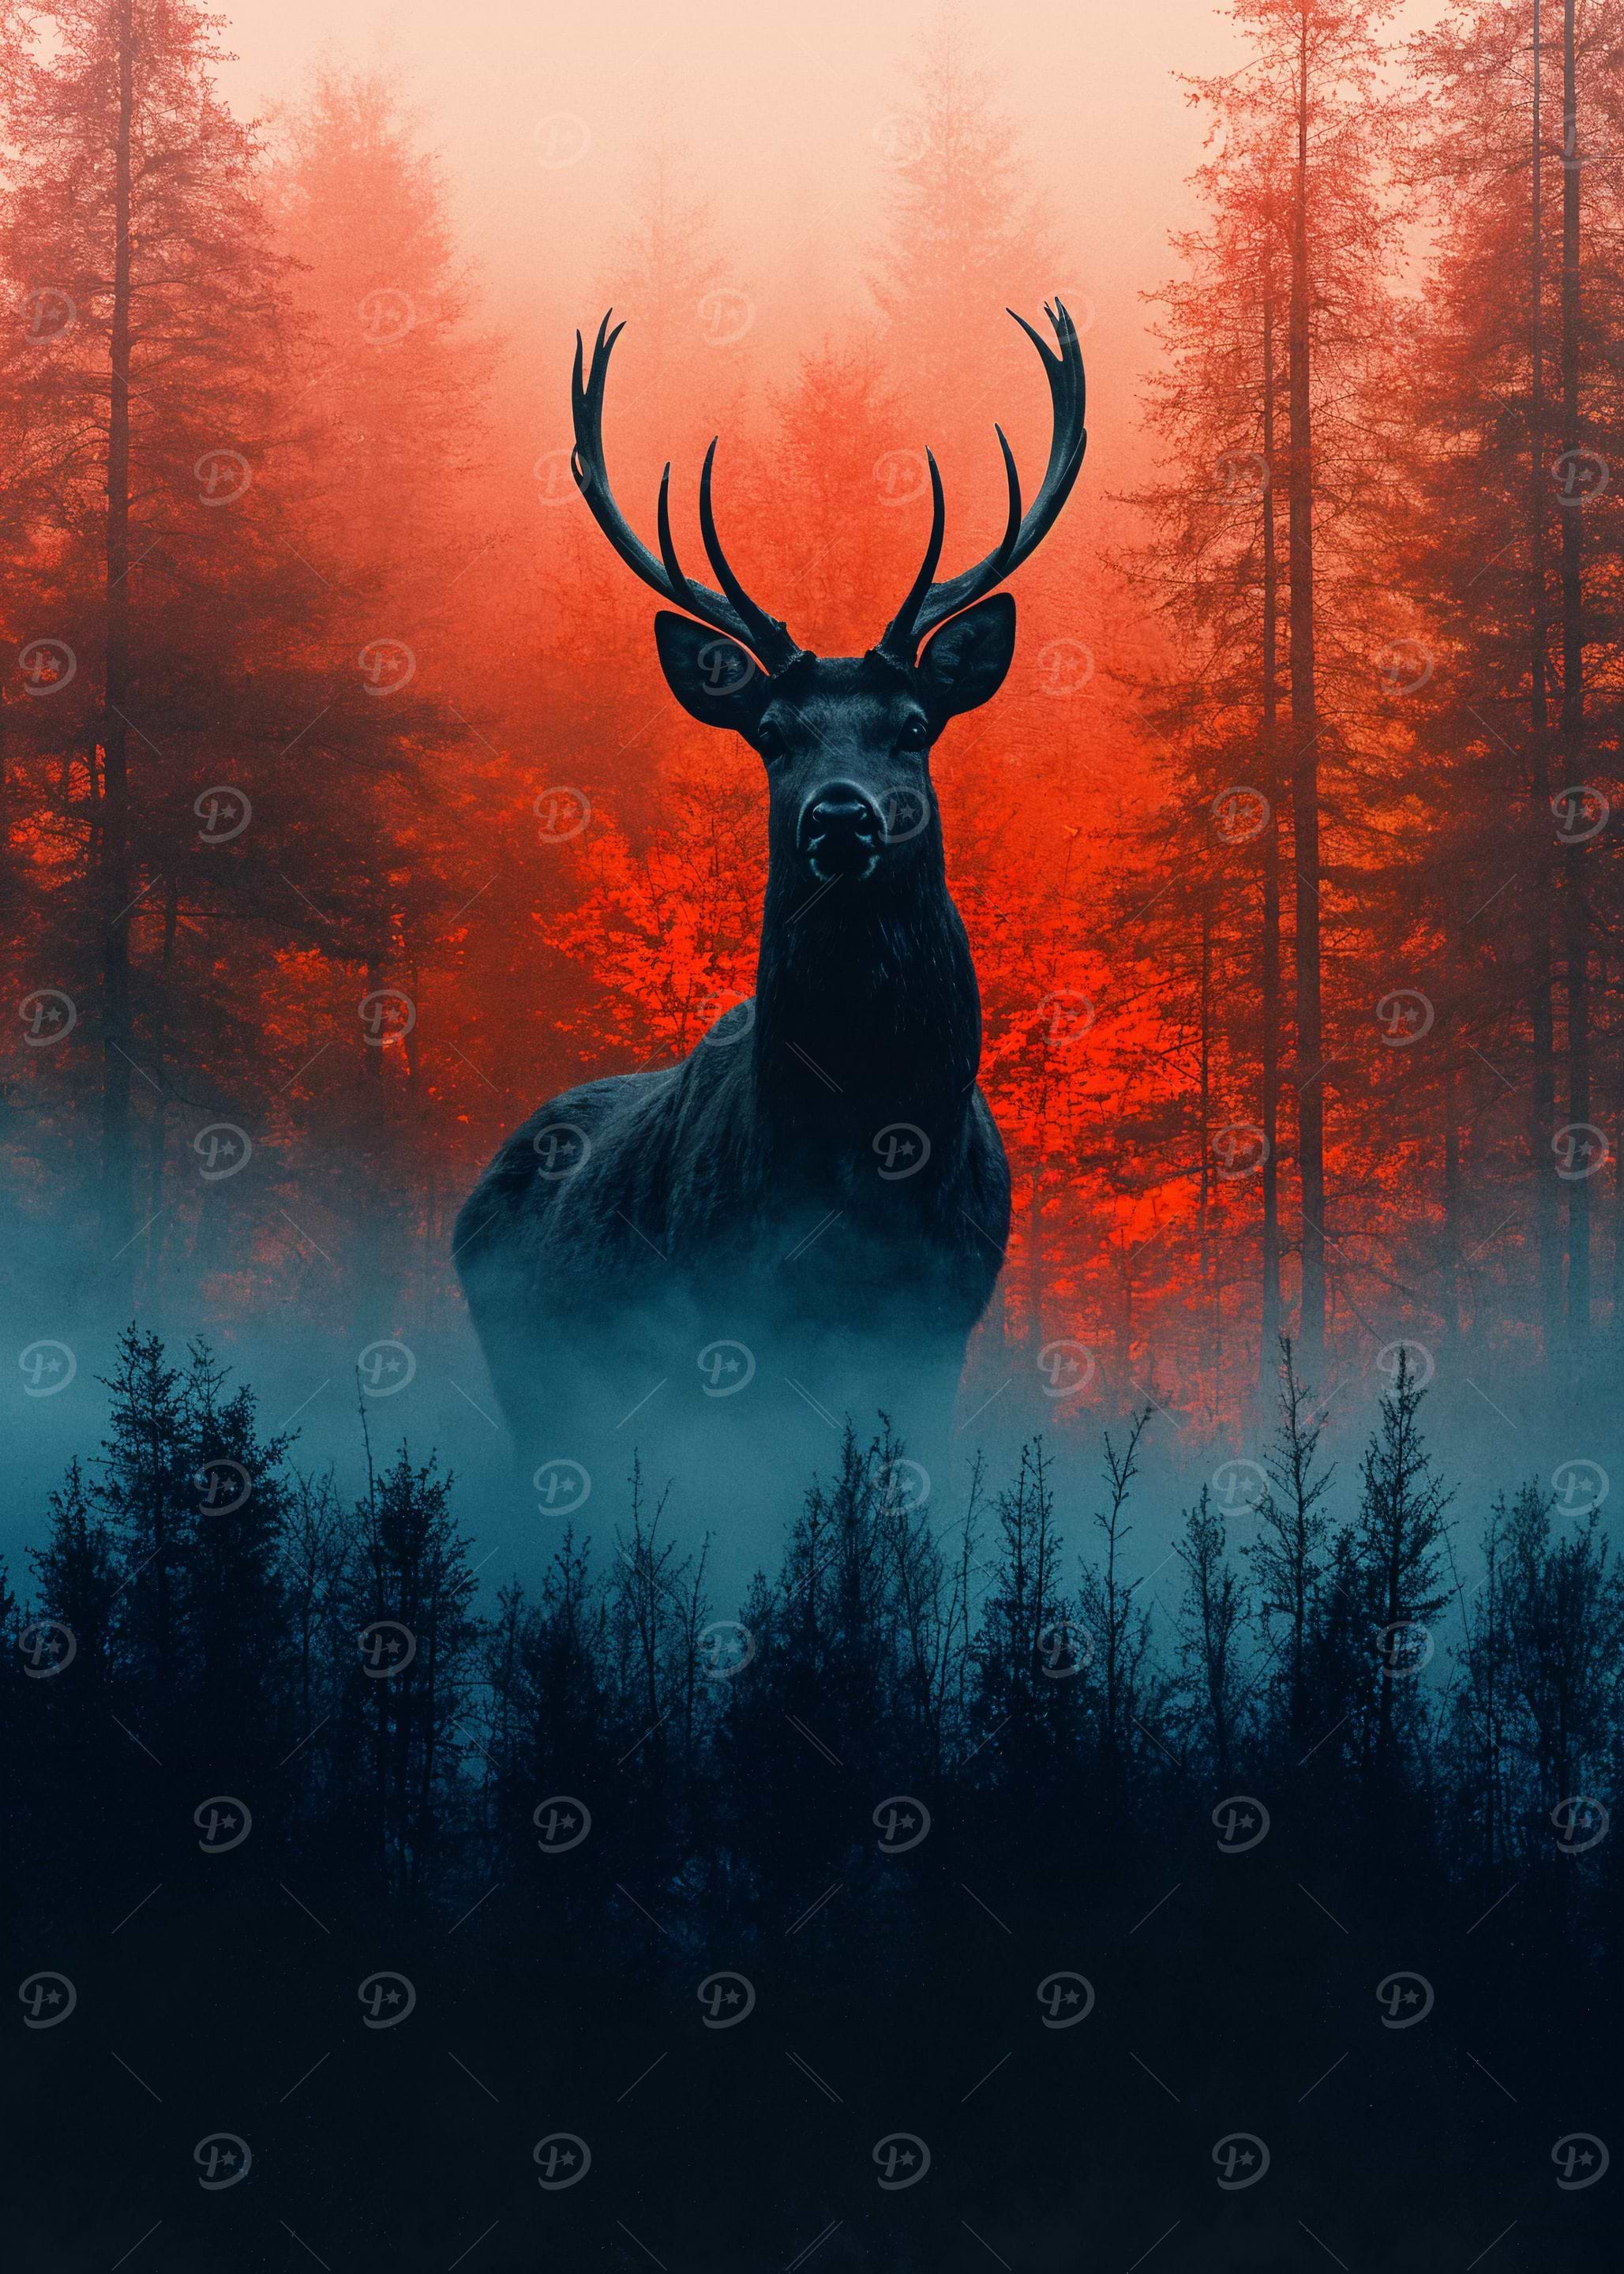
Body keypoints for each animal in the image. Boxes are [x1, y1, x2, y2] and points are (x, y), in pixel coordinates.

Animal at [456, 302, 1087, 1502]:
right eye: (772, 736)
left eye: (913, 726)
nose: (841, 818)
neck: (869, 1162)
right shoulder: (724, 1318)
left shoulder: (942, 1319)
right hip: (533, 1378)